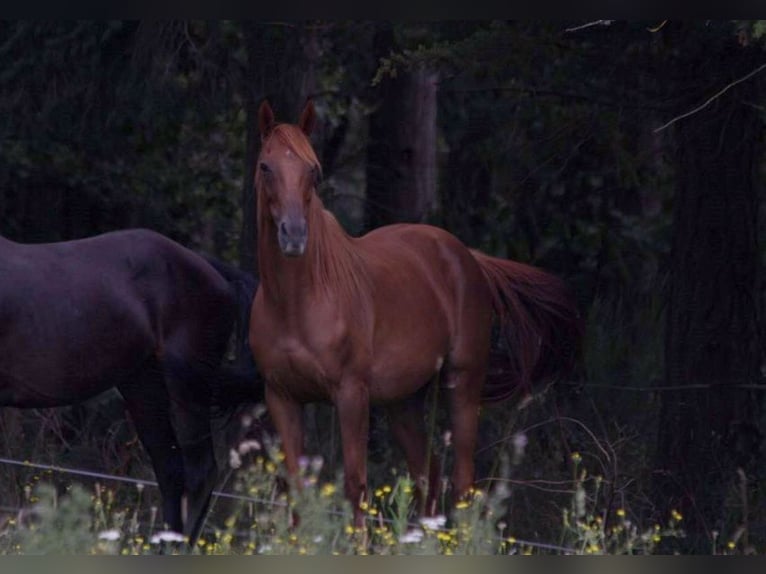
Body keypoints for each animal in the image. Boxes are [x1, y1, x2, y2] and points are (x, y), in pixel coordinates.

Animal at [249, 101, 584, 528]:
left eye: (313, 170)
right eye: (265, 166)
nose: (293, 235)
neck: (298, 304)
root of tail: (468, 257)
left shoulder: (351, 394)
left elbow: (356, 486)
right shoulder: (282, 398)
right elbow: (295, 490)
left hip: (462, 383)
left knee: (461, 482)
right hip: (403, 402)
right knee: (428, 476)